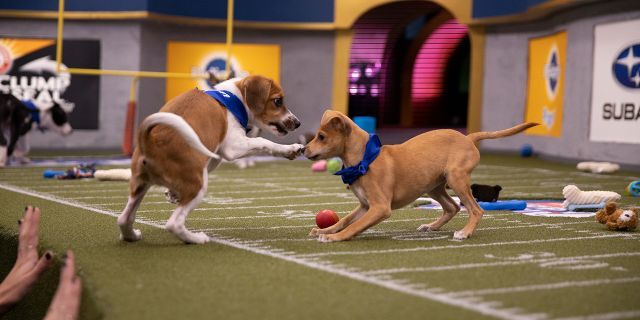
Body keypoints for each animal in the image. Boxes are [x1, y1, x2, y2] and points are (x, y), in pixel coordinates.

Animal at [118, 75, 304, 245]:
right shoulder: (234, 147)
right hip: (198, 186)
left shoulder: (214, 153)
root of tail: (150, 139)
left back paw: (131, 236)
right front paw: (291, 149)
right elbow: (263, 142)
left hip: (140, 185)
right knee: (174, 224)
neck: (233, 98)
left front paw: (171, 193)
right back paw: (196, 239)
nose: (297, 123)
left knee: (124, 219)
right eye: (278, 101)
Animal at [302, 111, 536, 241]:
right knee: (452, 206)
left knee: (476, 210)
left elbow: (354, 226)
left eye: (321, 137)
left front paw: (334, 237)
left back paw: (464, 232)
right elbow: (346, 220)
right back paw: (431, 227)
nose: (303, 149)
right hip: (434, 185)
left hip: (456, 178)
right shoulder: (366, 206)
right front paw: (327, 230)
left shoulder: (380, 208)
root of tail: (468, 137)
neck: (364, 159)